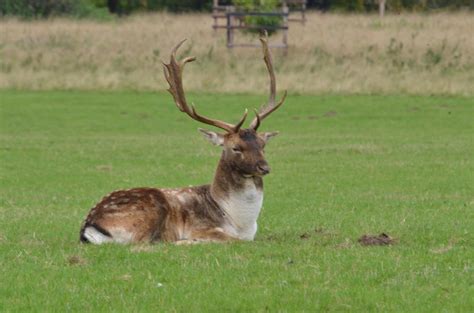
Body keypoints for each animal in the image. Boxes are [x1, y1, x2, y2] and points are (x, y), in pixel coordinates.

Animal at [79, 34, 286, 244]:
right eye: (236, 147)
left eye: (263, 145)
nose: (264, 167)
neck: (241, 223)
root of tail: (88, 226)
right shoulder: (203, 226)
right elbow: (233, 240)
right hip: (149, 211)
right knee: (144, 244)